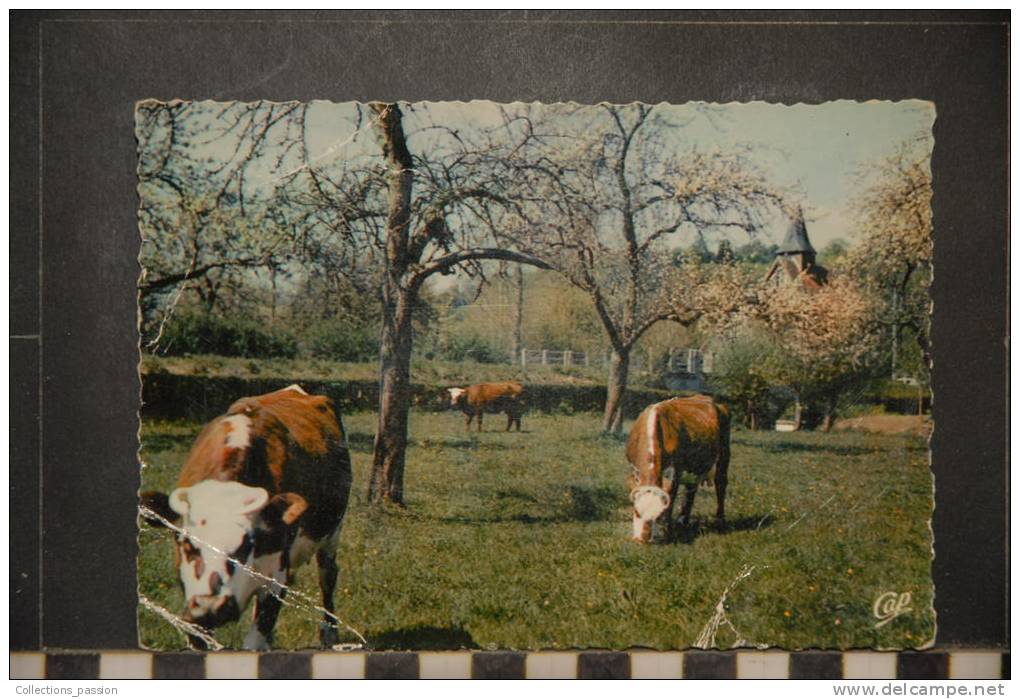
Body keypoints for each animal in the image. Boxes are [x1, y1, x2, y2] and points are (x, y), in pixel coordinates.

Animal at [139, 381, 352, 648]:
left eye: (245, 546)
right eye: (185, 543)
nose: (211, 606)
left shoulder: (276, 579)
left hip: (332, 533)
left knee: (328, 575)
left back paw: (329, 631)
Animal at [624, 395, 730, 542]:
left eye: (658, 515)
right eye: (637, 511)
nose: (643, 539)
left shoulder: (674, 472)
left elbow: (671, 499)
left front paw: (667, 531)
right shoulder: (634, 468)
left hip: (724, 453)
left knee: (720, 483)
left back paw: (719, 522)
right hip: (694, 467)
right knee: (691, 490)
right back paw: (682, 522)